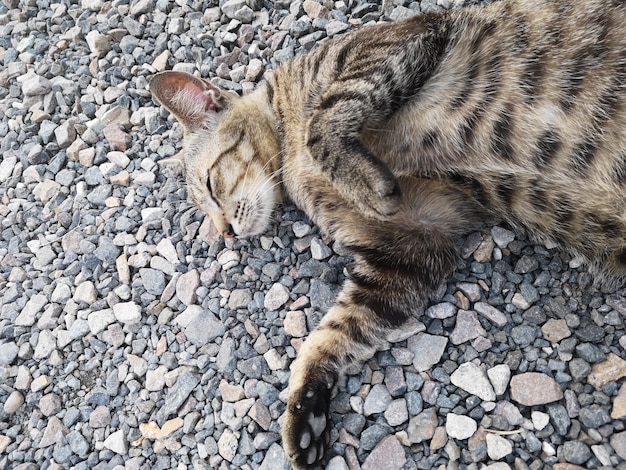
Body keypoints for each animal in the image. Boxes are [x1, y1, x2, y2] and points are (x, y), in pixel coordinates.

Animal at [147, 0, 624, 466]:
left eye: (211, 185)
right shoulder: (413, 242)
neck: (287, 148)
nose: (226, 232)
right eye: (206, 211)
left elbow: (324, 121)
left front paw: (364, 182)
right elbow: (336, 332)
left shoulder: (394, 42)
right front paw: (306, 406)